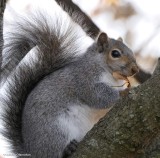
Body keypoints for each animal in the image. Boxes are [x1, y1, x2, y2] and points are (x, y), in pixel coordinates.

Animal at [0, 0, 138, 158]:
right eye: (115, 53)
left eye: (131, 50)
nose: (135, 70)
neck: (110, 75)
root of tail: (31, 150)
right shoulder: (84, 79)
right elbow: (98, 96)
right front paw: (123, 93)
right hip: (55, 131)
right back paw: (67, 149)